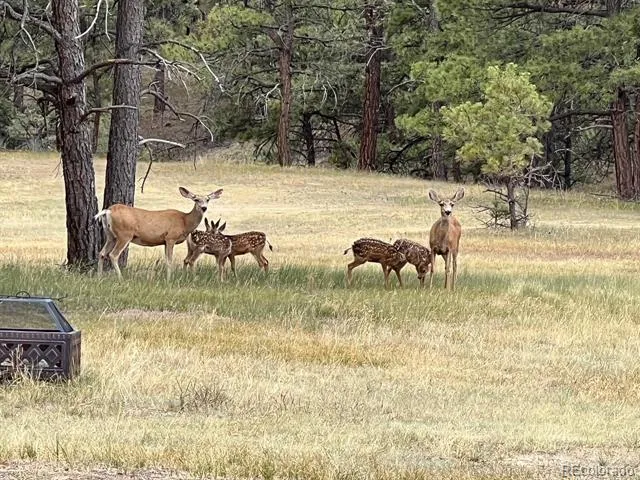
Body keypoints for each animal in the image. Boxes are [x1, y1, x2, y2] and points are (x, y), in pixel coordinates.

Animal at [94, 187, 223, 279]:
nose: (204, 208)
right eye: (196, 199)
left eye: (208, 199)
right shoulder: (171, 237)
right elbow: (170, 261)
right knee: (113, 255)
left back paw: (99, 277)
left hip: (111, 235)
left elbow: (166, 260)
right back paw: (120, 278)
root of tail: (108, 211)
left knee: (102, 253)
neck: (185, 221)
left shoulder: (165, 241)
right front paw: (169, 279)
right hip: (124, 234)